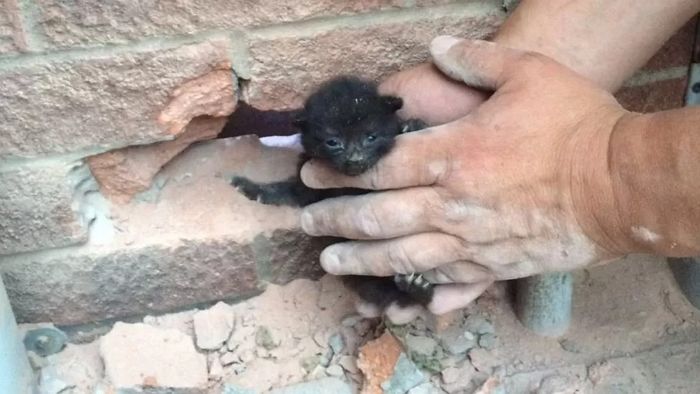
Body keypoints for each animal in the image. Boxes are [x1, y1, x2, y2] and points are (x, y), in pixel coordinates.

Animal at [231, 76, 432, 318]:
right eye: (333, 142)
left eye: (371, 137)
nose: (355, 159)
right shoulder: (305, 185)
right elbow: (282, 191)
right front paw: (251, 188)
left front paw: (413, 125)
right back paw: (412, 288)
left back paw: (416, 288)